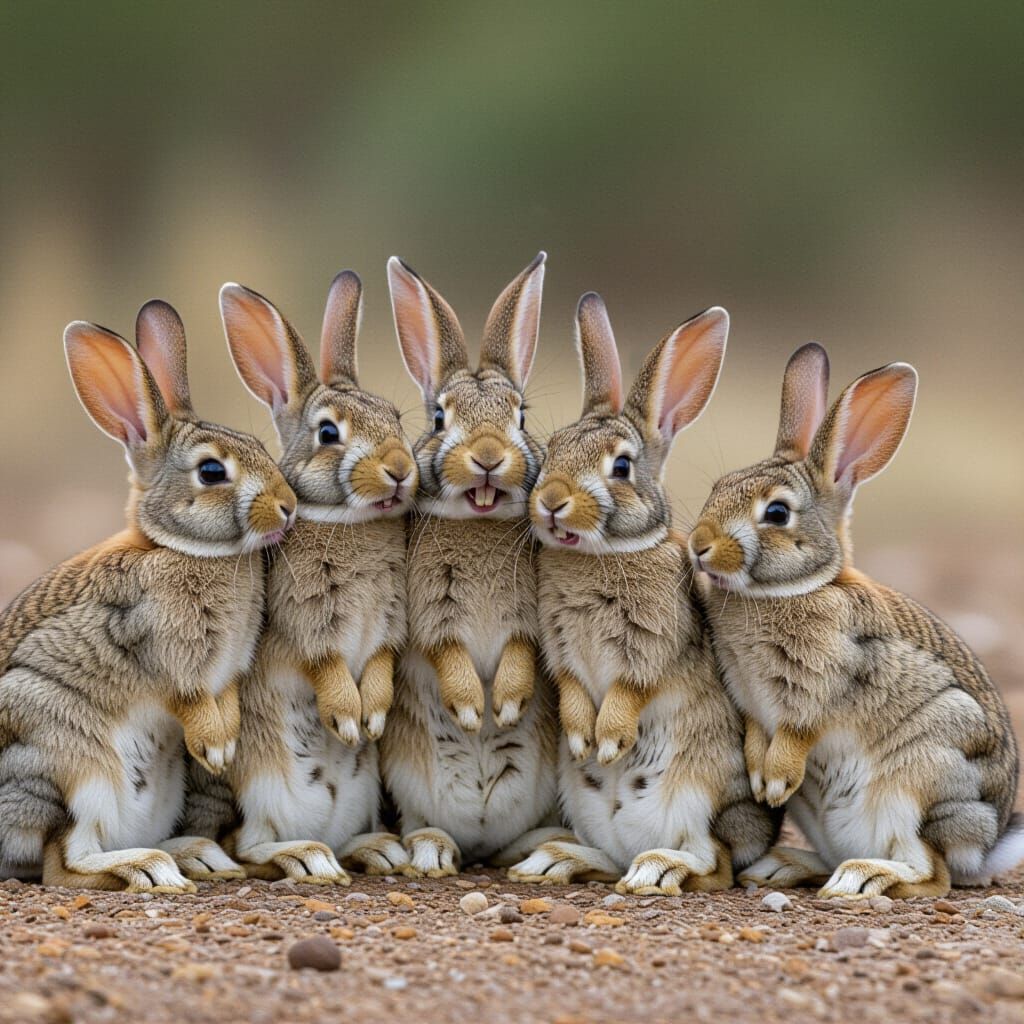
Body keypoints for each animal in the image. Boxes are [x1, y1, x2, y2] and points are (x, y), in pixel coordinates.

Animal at [0, 301, 296, 891]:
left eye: (260, 448)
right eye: (212, 471)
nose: (288, 507)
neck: (184, 548)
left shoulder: (227, 673)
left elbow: (225, 702)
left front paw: (223, 747)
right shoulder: (162, 647)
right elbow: (187, 699)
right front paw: (215, 747)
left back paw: (196, 856)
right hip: (65, 762)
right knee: (63, 863)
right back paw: (150, 867)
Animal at [194, 273, 416, 883]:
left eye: (395, 417)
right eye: (328, 433)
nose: (400, 469)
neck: (350, 522)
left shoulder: (388, 622)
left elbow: (379, 664)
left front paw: (372, 719)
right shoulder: (307, 624)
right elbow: (327, 666)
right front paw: (347, 719)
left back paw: (380, 851)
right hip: (266, 782)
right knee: (251, 847)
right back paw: (305, 855)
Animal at [380, 253, 569, 876]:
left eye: (521, 416)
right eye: (440, 418)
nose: (488, 457)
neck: (478, 522)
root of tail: (483, 837)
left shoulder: (525, 615)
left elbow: (519, 651)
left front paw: (504, 706)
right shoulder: (431, 611)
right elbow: (447, 652)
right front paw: (469, 710)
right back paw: (433, 852)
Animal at [507, 294, 779, 894]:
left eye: (622, 466)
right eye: (552, 447)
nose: (551, 501)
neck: (601, 554)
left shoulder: (650, 643)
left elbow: (630, 689)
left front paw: (608, 741)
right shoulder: (561, 648)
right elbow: (573, 690)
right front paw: (583, 740)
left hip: (695, 793)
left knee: (713, 864)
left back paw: (657, 869)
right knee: (610, 856)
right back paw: (551, 862)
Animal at [688, 343, 1024, 898]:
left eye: (776, 513)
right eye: (717, 487)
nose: (699, 547)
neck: (793, 588)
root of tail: (986, 846)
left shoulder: (817, 688)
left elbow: (798, 734)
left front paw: (775, 781)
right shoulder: (750, 699)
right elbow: (758, 736)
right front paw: (761, 779)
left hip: (921, 781)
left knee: (933, 874)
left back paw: (865, 877)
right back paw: (783, 867)